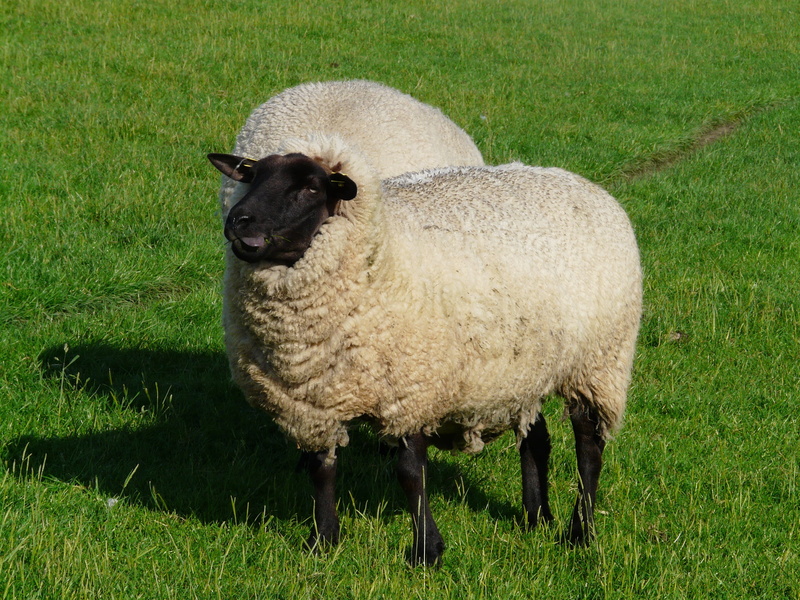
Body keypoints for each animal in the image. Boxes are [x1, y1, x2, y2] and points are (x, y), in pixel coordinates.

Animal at [207, 134, 642, 566]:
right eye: (253, 177)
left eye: (312, 188)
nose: (239, 220)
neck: (379, 248)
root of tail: (586, 185)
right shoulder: (314, 405)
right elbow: (321, 469)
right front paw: (323, 541)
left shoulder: (410, 390)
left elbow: (410, 473)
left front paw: (426, 551)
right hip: (522, 371)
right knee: (537, 439)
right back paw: (536, 516)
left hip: (598, 363)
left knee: (589, 450)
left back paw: (580, 533)